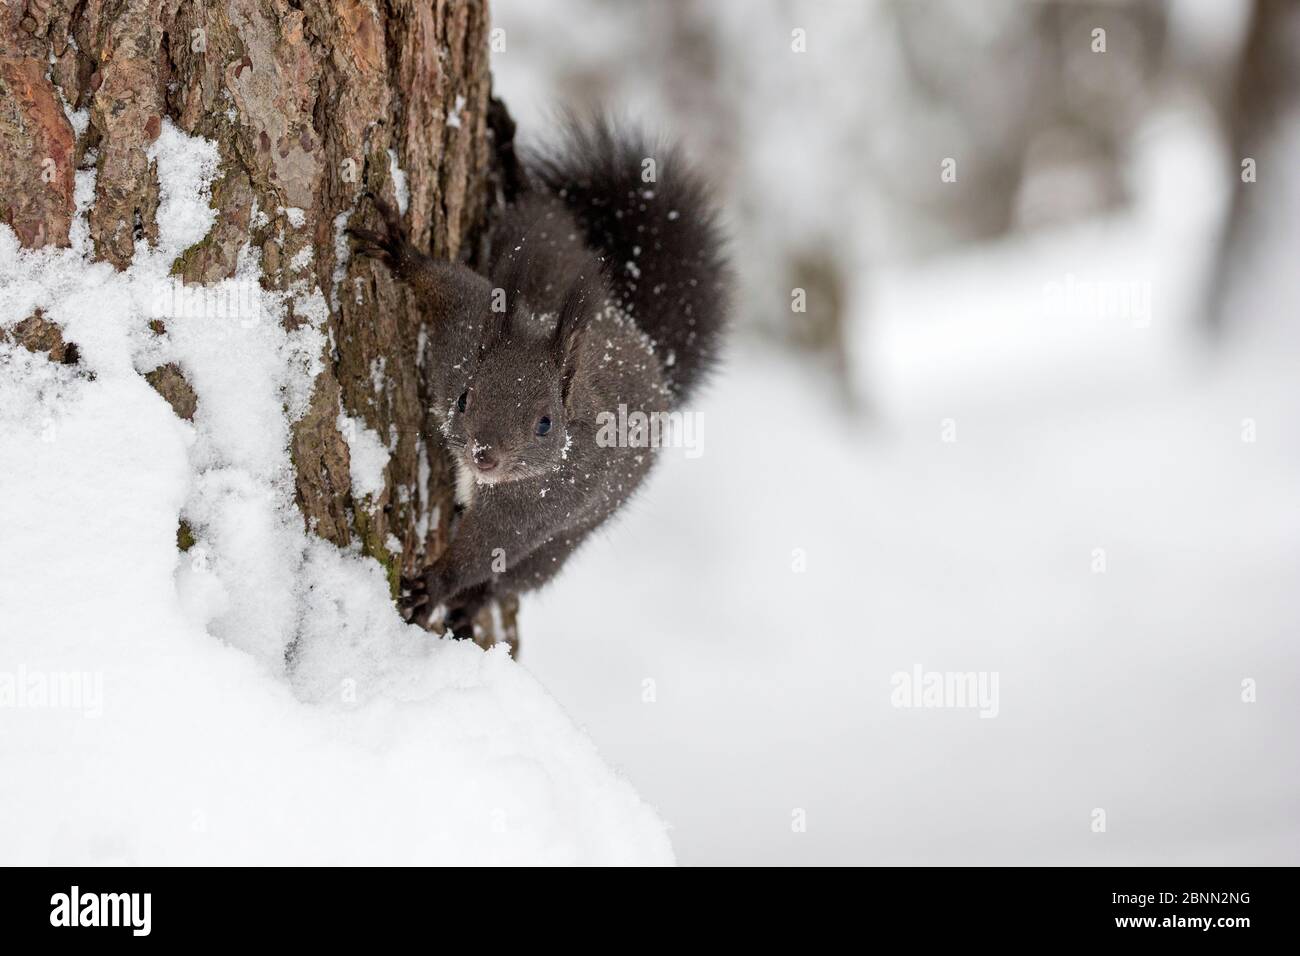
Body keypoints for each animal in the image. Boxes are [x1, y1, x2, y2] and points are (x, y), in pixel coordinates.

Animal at [351, 117, 728, 634]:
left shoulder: (545, 504)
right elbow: (448, 285)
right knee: (542, 210)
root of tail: (651, 352)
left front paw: (433, 589)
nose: (484, 455)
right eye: (464, 398)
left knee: (515, 579)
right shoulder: (467, 326)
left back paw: (470, 609)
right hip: (541, 237)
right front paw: (399, 252)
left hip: (565, 543)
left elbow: (485, 552)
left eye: (545, 424)